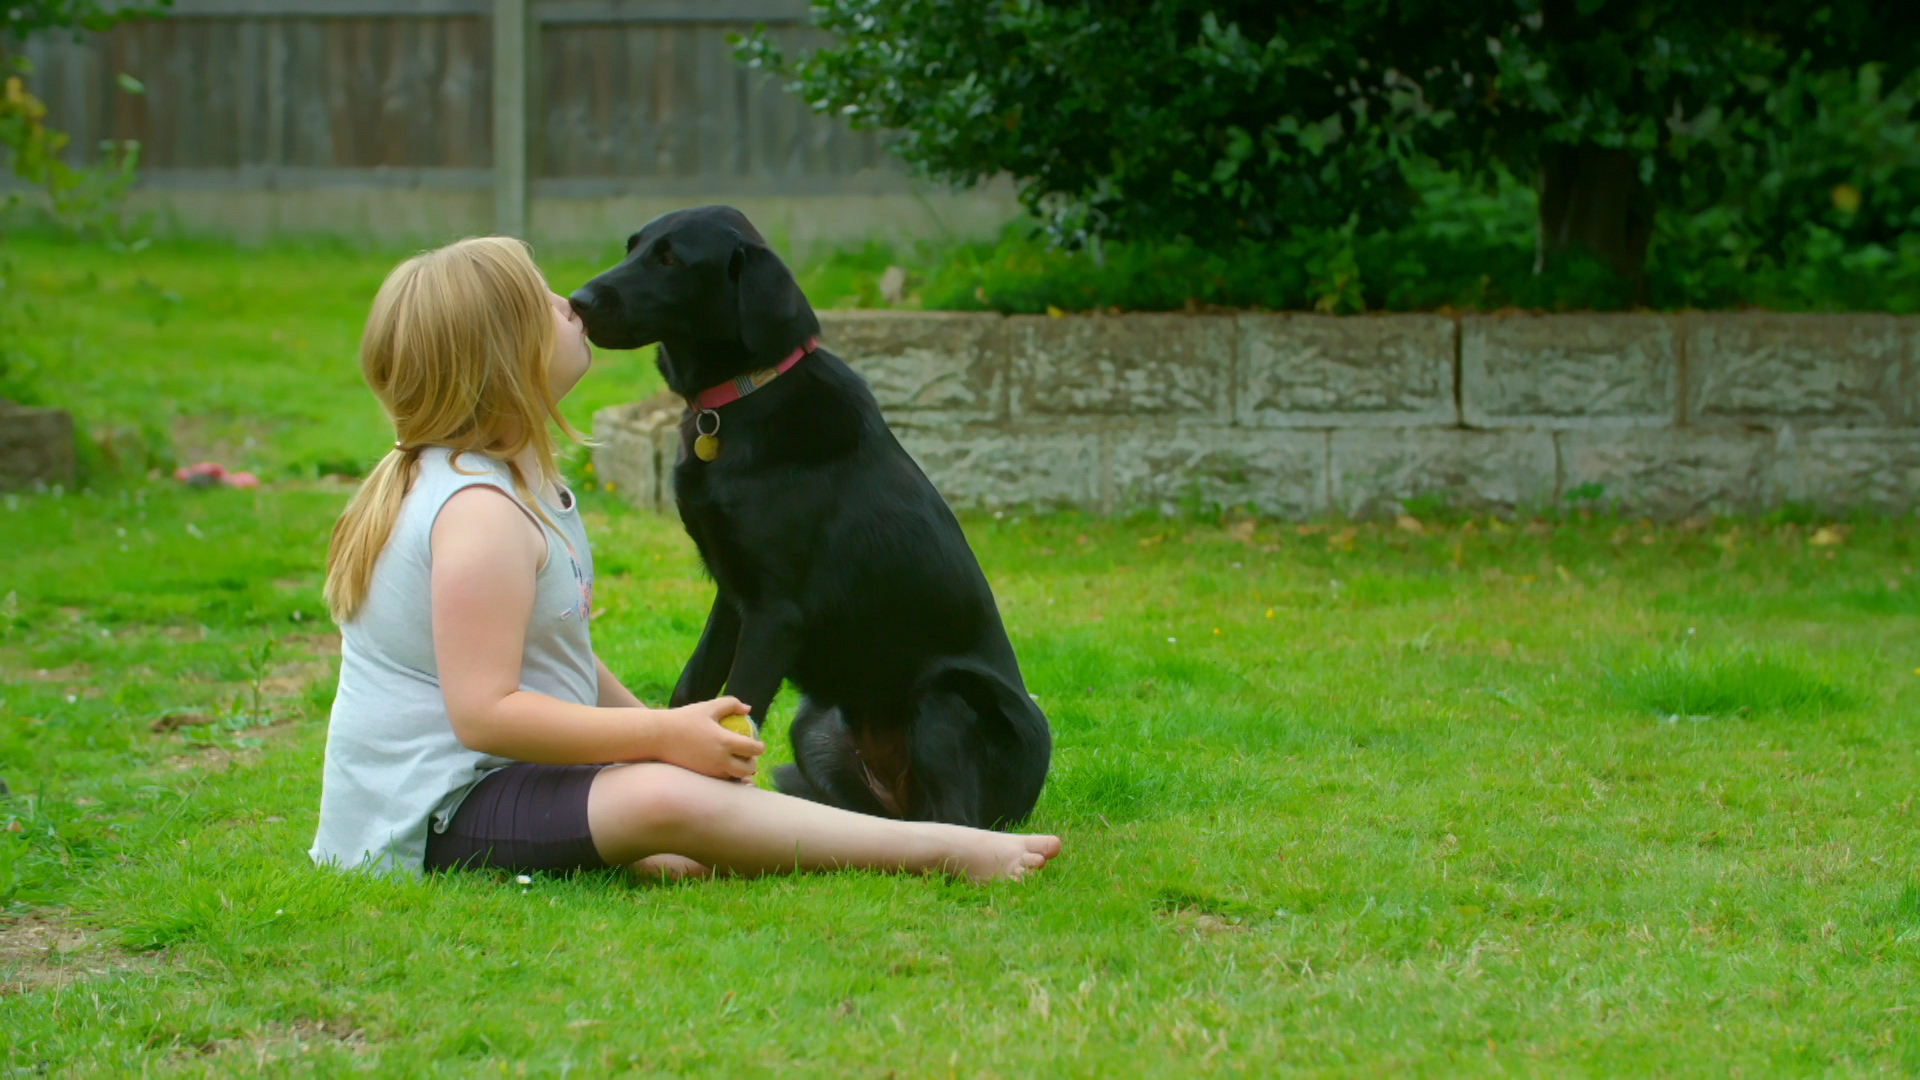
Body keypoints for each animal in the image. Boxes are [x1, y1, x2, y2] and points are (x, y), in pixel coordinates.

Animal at [568, 205, 1052, 822]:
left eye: (671, 259)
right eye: (633, 247)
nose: (577, 300)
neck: (741, 400)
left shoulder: (777, 612)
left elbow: (739, 706)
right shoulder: (733, 597)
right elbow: (690, 693)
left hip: (946, 699)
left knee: (959, 820)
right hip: (815, 724)